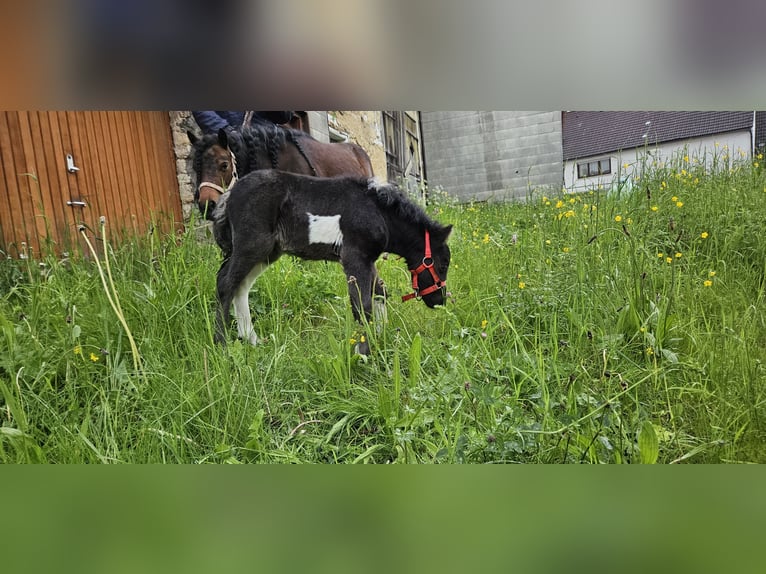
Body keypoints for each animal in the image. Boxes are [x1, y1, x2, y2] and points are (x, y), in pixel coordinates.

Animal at [213, 170, 452, 356]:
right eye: (442, 265)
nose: (439, 300)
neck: (379, 213)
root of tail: (229, 194)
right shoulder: (354, 256)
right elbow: (362, 305)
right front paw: (363, 353)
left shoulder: (368, 259)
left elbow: (380, 292)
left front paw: (380, 340)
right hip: (251, 245)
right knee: (226, 283)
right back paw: (221, 344)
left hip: (268, 252)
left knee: (241, 286)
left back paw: (251, 339)